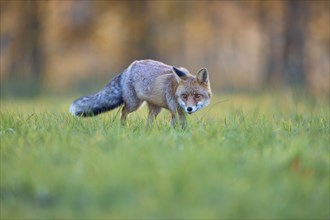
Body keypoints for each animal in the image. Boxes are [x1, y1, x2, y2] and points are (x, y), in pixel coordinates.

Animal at [70, 59, 213, 127]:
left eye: (197, 96)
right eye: (184, 96)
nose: (189, 108)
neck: (174, 88)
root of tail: (127, 69)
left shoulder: (179, 111)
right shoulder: (175, 110)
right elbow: (178, 125)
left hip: (155, 110)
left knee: (147, 123)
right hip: (134, 104)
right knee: (123, 111)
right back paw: (123, 128)